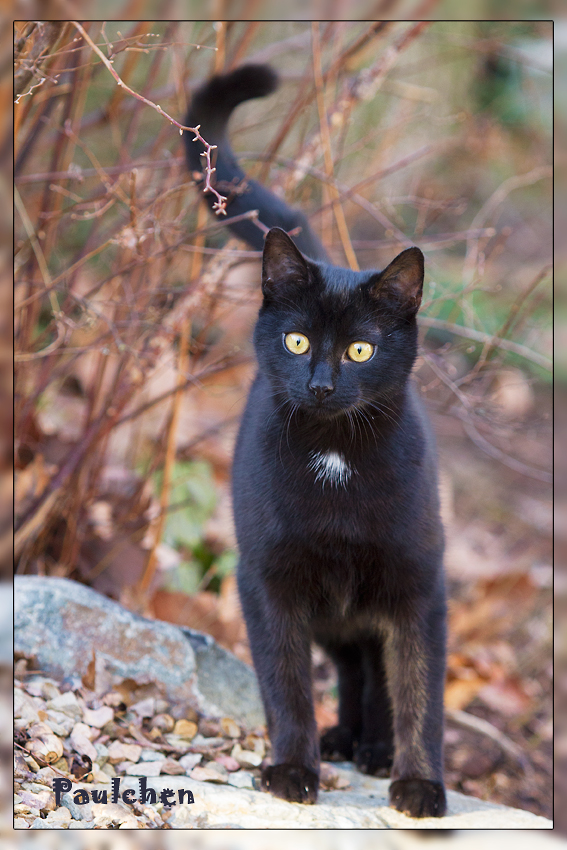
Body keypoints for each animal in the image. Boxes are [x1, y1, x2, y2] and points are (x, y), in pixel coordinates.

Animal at [186, 64, 448, 816]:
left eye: (360, 349)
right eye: (297, 341)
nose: (323, 385)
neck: (335, 459)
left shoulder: (419, 583)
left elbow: (419, 691)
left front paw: (418, 783)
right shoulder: (267, 580)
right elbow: (285, 684)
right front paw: (291, 769)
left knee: (374, 672)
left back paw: (372, 748)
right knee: (353, 669)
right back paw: (342, 741)